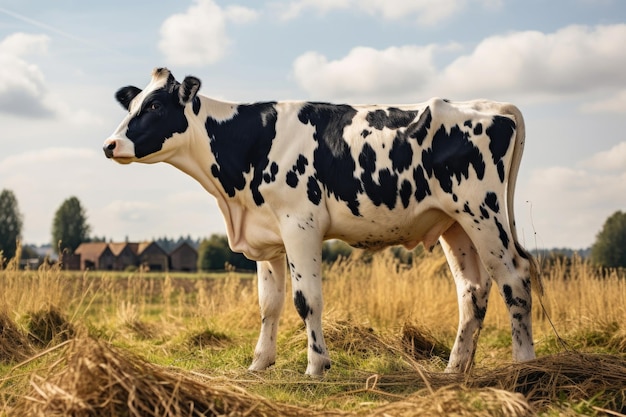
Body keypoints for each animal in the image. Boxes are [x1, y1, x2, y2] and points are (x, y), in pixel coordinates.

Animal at [102, 68, 536, 374]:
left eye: (155, 107)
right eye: (132, 105)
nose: (110, 145)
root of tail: (493, 105)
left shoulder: (300, 224)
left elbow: (305, 299)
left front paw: (316, 365)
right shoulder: (268, 236)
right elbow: (269, 304)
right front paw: (259, 363)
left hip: (483, 212)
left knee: (514, 280)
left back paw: (525, 366)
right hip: (454, 223)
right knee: (473, 290)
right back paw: (455, 369)